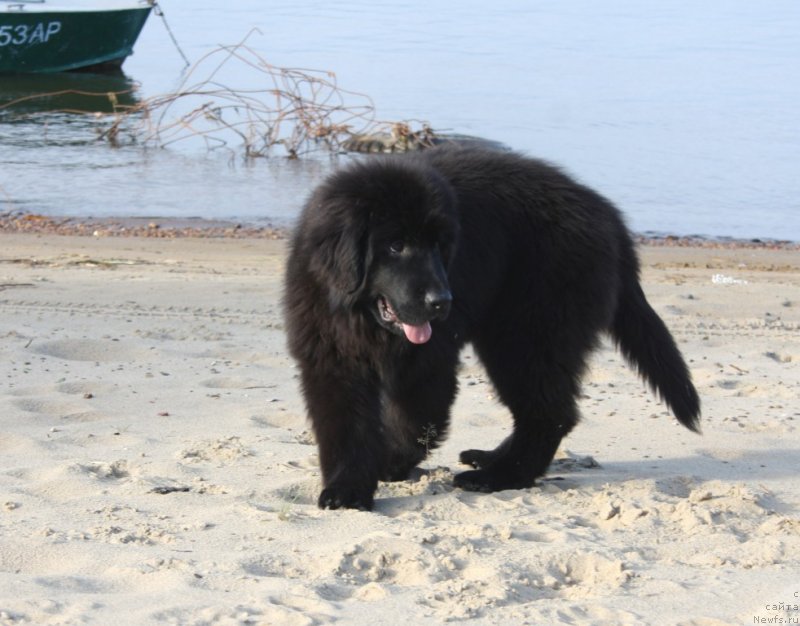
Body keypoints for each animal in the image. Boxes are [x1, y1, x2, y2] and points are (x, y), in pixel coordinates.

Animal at [282, 149, 700, 510]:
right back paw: (489, 459)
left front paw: (389, 463)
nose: (442, 301)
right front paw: (347, 489)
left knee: (549, 412)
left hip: (527, 336)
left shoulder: (428, 363)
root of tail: (610, 218)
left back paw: (500, 476)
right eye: (395, 245)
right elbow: (345, 427)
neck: (360, 318)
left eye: (439, 245)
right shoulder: (331, 358)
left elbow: (416, 421)